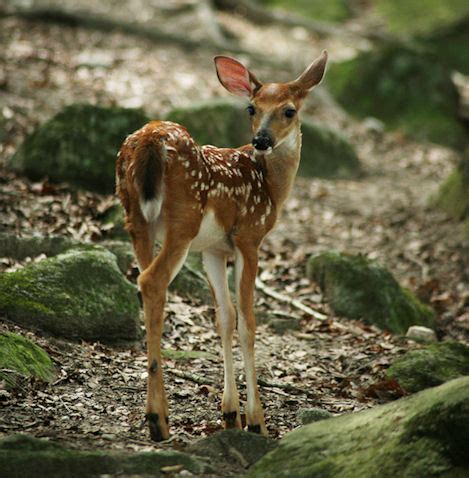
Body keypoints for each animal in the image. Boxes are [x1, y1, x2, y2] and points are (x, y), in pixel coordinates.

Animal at [115, 51, 328, 440]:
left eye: (289, 110)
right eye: (252, 108)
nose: (261, 140)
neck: (270, 186)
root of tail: (150, 138)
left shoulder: (213, 249)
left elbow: (224, 317)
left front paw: (230, 414)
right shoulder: (249, 237)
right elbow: (247, 321)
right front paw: (257, 420)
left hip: (135, 217)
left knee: (146, 282)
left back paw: (156, 415)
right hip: (182, 222)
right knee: (152, 281)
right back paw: (158, 421)